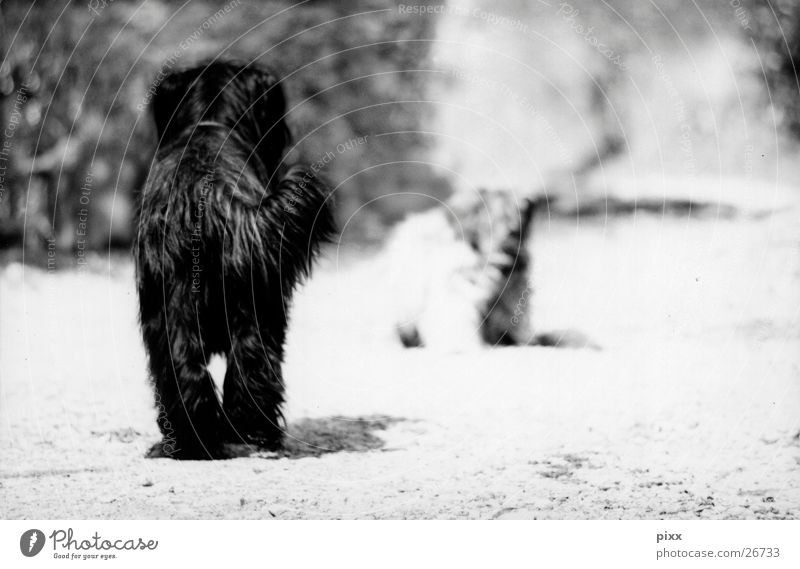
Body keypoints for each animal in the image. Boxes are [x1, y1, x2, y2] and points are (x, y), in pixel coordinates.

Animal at [134, 61, 334, 458]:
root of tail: (207, 197)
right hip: (260, 308)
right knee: (255, 369)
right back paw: (255, 432)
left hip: (168, 312)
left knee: (184, 371)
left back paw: (192, 439)